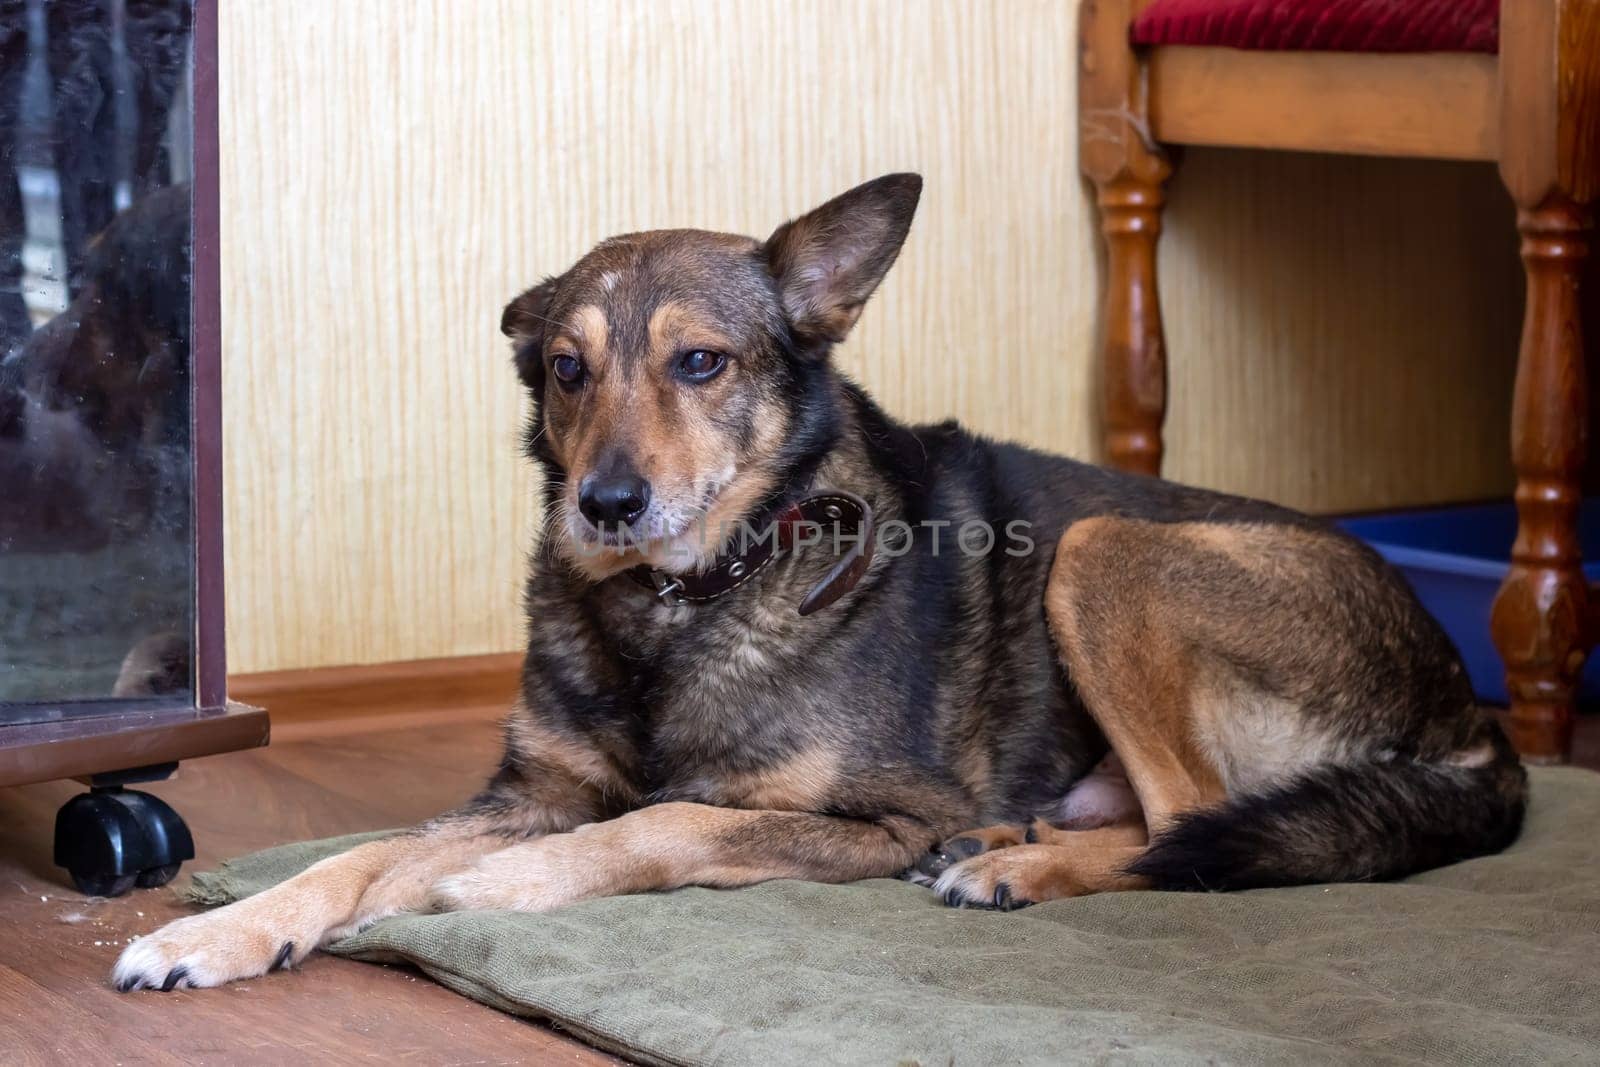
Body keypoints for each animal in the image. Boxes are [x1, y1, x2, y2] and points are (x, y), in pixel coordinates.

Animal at [112, 173, 1523, 991]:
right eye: (566, 368)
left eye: (700, 362)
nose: (603, 505)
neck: (680, 601)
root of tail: (1465, 702)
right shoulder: (528, 791)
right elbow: (357, 850)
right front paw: (212, 931)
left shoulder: (865, 809)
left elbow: (658, 825)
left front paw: (481, 890)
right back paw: (1009, 840)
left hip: (1100, 545)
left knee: (1193, 820)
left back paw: (1012, 868)